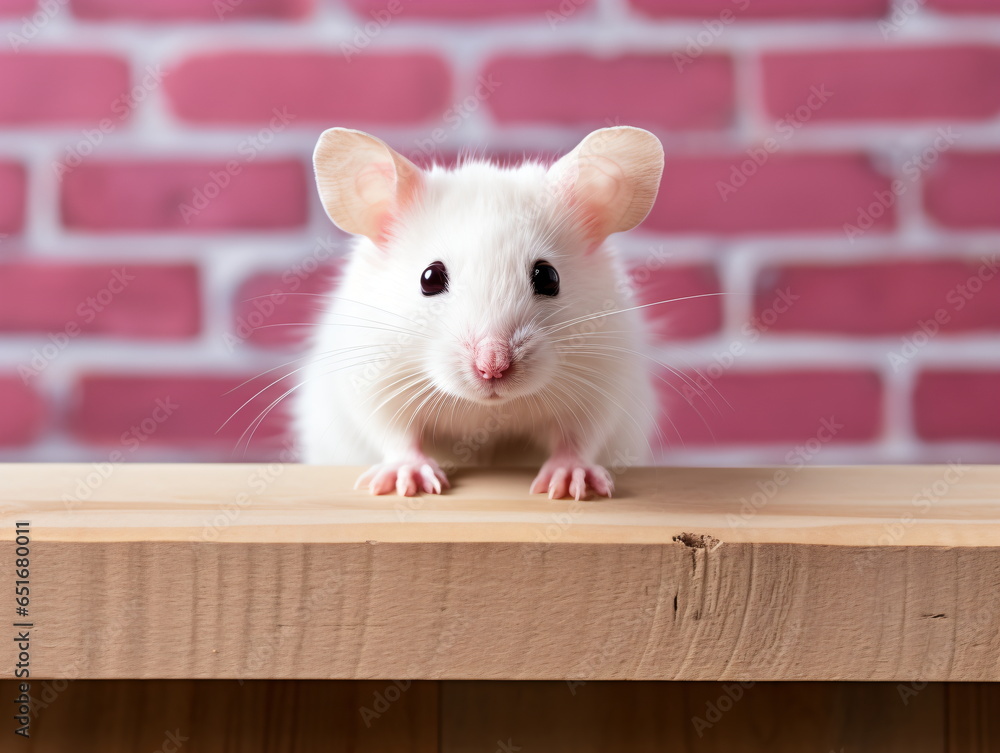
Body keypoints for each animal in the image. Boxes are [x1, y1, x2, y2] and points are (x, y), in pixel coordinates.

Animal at [293, 126, 663, 500]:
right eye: (429, 278)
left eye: (548, 277)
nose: (492, 367)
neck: (486, 408)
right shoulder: (373, 380)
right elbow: (396, 434)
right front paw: (407, 480)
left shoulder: (603, 384)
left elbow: (578, 438)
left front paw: (570, 482)